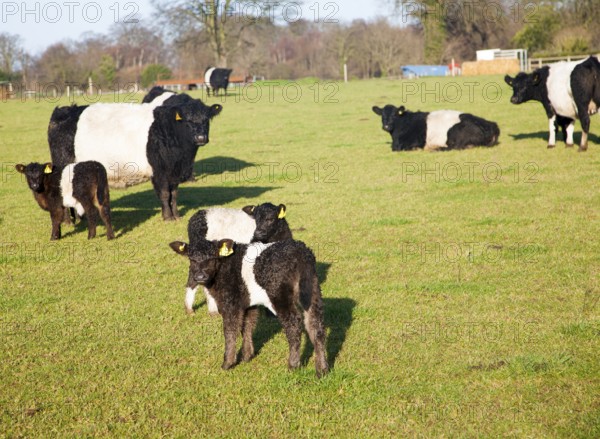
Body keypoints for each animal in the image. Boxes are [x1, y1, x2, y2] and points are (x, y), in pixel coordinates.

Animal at [46, 98, 220, 220]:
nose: (201, 138)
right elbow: (165, 194)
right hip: (64, 166)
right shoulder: (160, 172)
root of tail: (63, 111)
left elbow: (174, 195)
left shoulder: (174, 172)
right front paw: (168, 217)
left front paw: (177, 215)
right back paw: (68, 221)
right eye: (188, 121)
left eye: (207, 119)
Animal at [169, 237, 328, 378]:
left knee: (294, 324)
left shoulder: (230, 303)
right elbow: (247, 326)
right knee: (315, 324)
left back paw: (293, 365)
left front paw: (228, 363)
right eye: (191, 259)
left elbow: (230, 330)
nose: (200, 277)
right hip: (312, 291)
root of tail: (299, 251)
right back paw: (322, 370)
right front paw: (247, 356)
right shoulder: (248, 304)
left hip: (280, 297)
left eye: (212, 257)